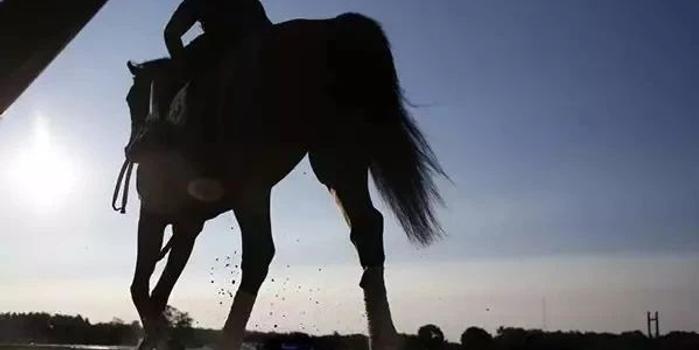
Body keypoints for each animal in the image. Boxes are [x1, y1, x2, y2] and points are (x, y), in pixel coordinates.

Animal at [119, 13, 446, 350]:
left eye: (132, 99)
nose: (133, 151)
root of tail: (331, 26)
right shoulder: (187, 226)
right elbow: (157, 293)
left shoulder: (155, 214)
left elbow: (140, 288)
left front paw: (159, 336)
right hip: (335, 159)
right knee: (364, 227)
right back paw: (384, 337)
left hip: (256, 183)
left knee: (259, 253)